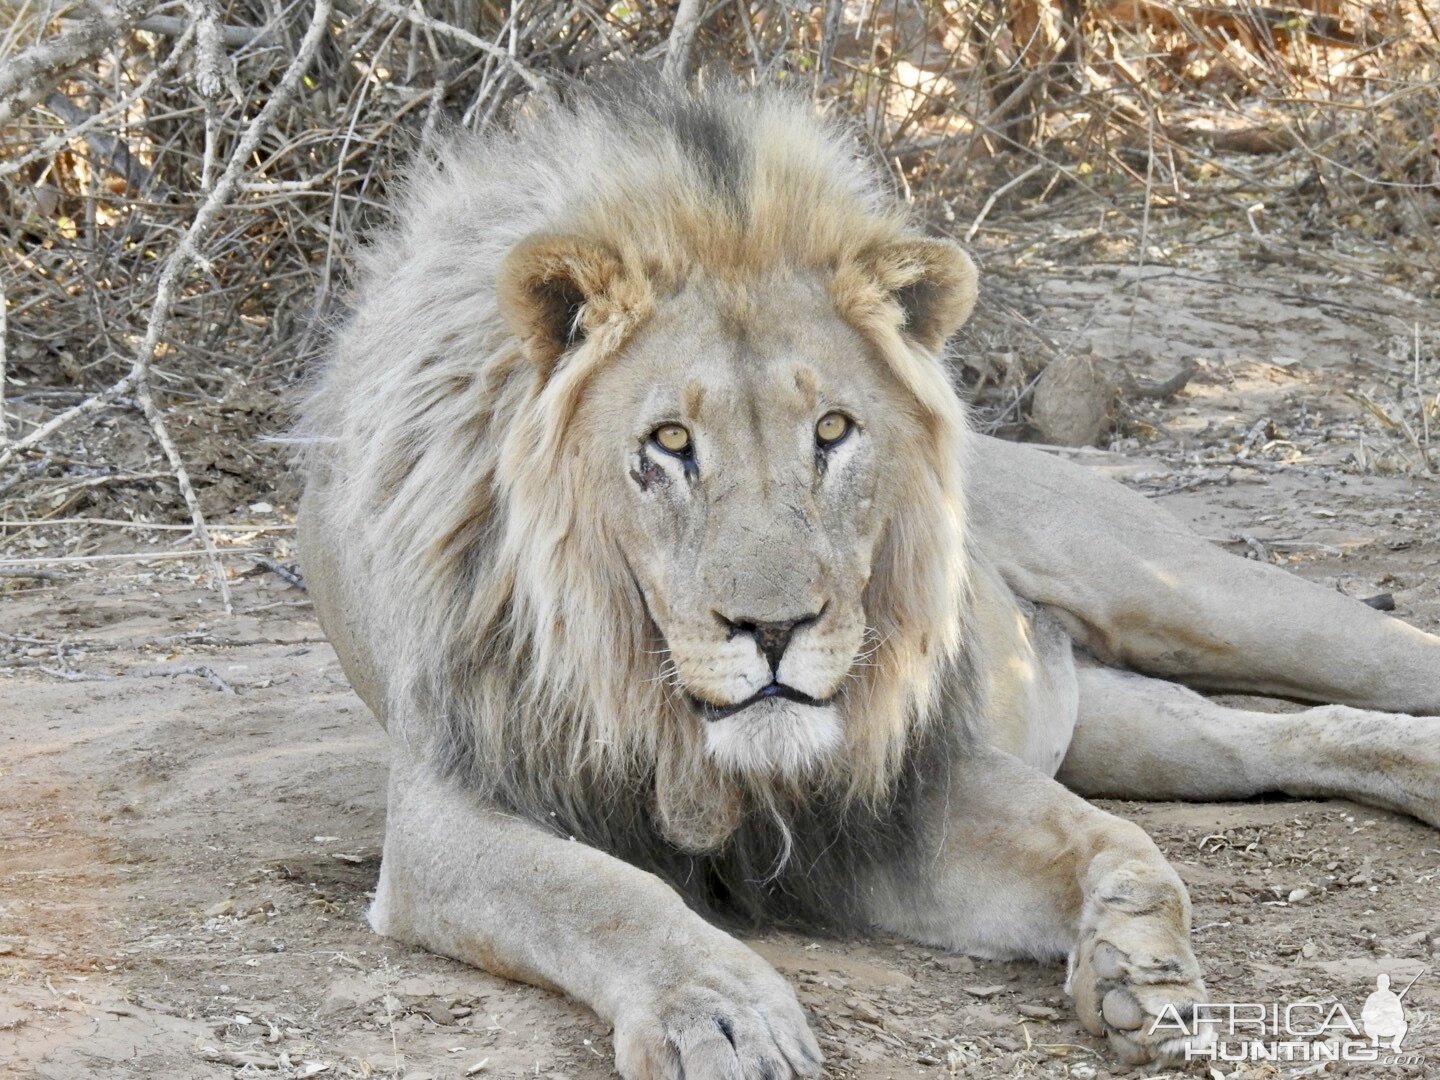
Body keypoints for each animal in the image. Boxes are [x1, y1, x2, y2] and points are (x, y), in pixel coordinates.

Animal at [295, 82, 1440, 1080]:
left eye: (833, 431)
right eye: (670, 443)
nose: (775, 631)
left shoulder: (896, 788)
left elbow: (1102, 838)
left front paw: (1136, 965)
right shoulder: (447, 812)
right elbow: (600, 890)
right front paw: (723, 1016)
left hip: (1196, 597)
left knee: (1371, 666)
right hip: (1125, 726)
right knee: (1278, 741)